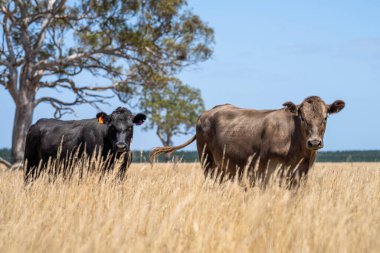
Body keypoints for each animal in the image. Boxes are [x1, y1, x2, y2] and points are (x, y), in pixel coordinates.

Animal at [151, 96, 344, 187]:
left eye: (325, 118)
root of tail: (206, 113)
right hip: (207, 162)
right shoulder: (267, 172)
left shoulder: (300, 175)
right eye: (302, 118)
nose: (314, 142)